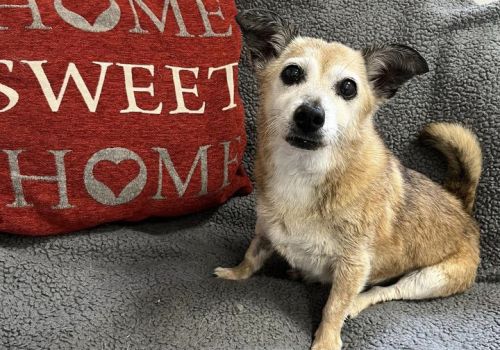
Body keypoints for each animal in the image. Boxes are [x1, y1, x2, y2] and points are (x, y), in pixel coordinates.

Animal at [213, 8, 482, 350]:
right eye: (291, 73)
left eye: (348, 88)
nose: (310, 115)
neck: (304, 170)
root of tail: (462, 206)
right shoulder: (265, 229)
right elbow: (252, 255)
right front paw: (235, 273)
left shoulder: (353, 266)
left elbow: (333, 307)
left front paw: (326, 340)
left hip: (430, 279)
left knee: (385, 291)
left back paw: (357, 301)